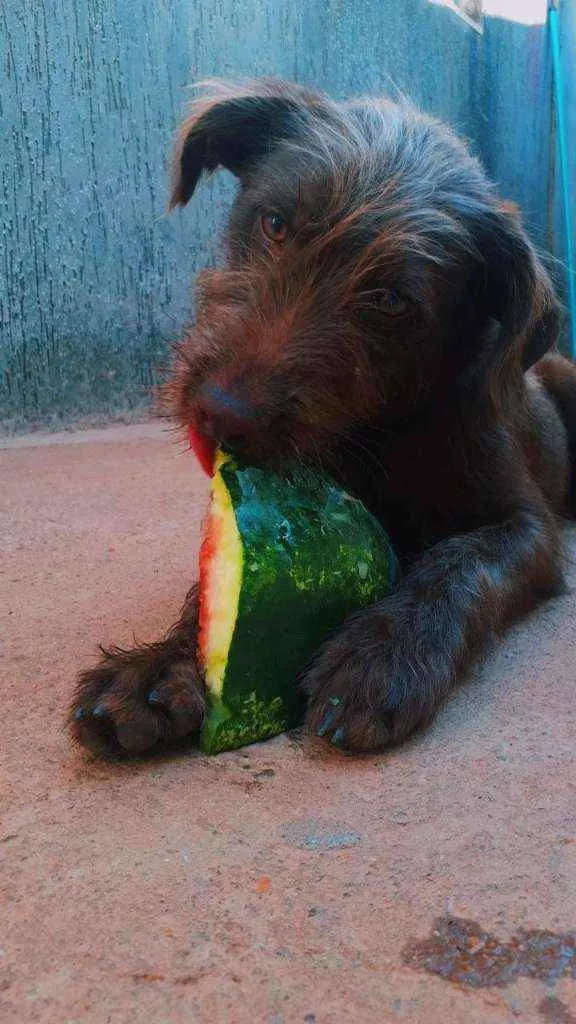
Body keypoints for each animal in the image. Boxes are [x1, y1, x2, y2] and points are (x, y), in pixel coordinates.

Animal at [69, 75, 573, 757]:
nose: (220, 415)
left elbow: (463, 564)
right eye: (275, 223)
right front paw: (160, 666)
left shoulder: (527, 525)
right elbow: (211, 583)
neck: (388, 429)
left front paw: (388, 651)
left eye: (390, 300)